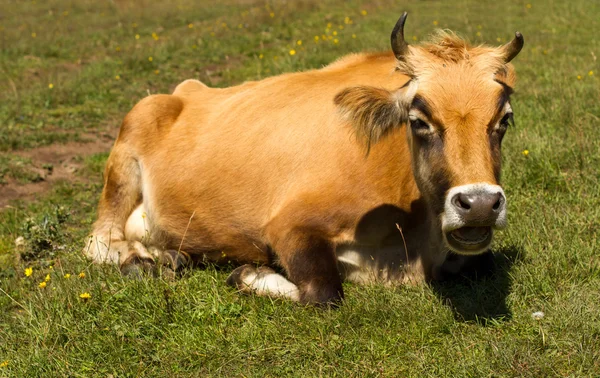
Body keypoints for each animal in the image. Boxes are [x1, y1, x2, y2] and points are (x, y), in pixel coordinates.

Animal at [83, 13, 520, 306]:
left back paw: (169, 255)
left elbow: (484, 262)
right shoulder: (287, 224)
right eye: (418, 120)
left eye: (504, 119)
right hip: (126, 152)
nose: (480, 204)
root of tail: (185, 90)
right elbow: (323, 292)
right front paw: (251, 272)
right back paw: (141, 260)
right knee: (99, 241)